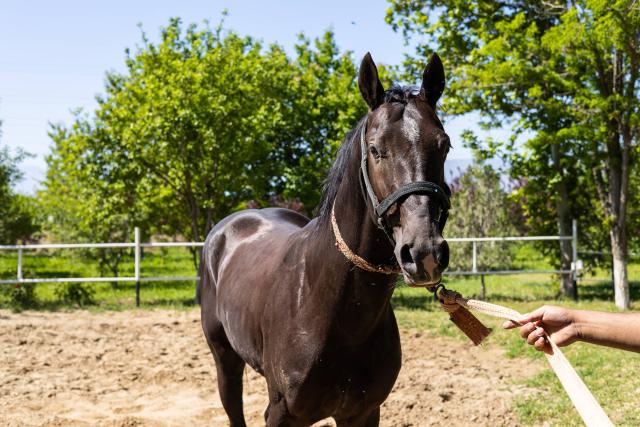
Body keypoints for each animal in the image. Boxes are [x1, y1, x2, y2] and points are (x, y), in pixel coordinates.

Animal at [198, 52, 451, 426]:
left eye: (444, 145)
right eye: (375, 150)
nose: (424, 252)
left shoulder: (363, 414)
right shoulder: (282, 414)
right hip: (225, 362)